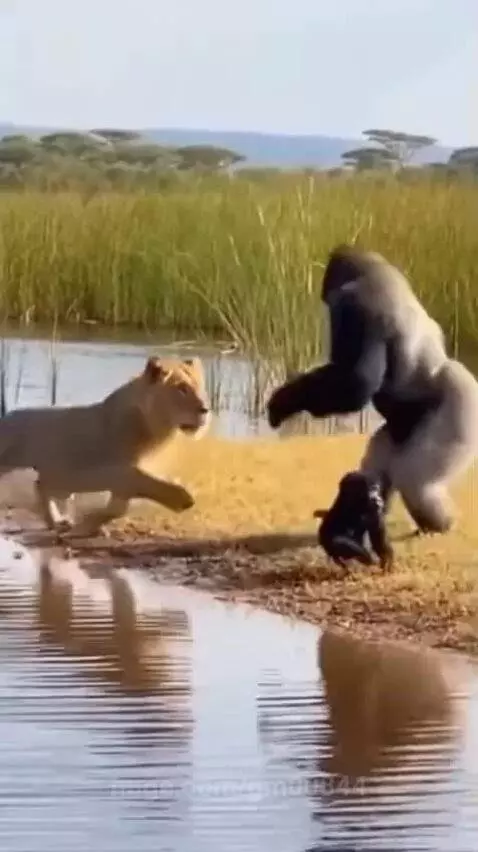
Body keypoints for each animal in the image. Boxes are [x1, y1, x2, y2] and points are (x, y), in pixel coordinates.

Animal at [0, 355, 211, 537]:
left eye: (199, 388)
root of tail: (8, 416)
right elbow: (133, 479)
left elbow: (117, 509)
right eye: (181, 389)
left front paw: (90, 527)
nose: (205, 410)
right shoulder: (99, 471)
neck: (151, 430)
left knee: (41, 485)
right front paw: (181, 497)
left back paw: (57, 521)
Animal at [267, 245, 478, 535]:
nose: (324, 294)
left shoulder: (357, 304)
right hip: (405, 429)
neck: (372, 269)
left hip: (461, 408)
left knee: (414, 480)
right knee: (381, 460)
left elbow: (356, 384)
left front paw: (284, 401)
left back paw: (439, 525)